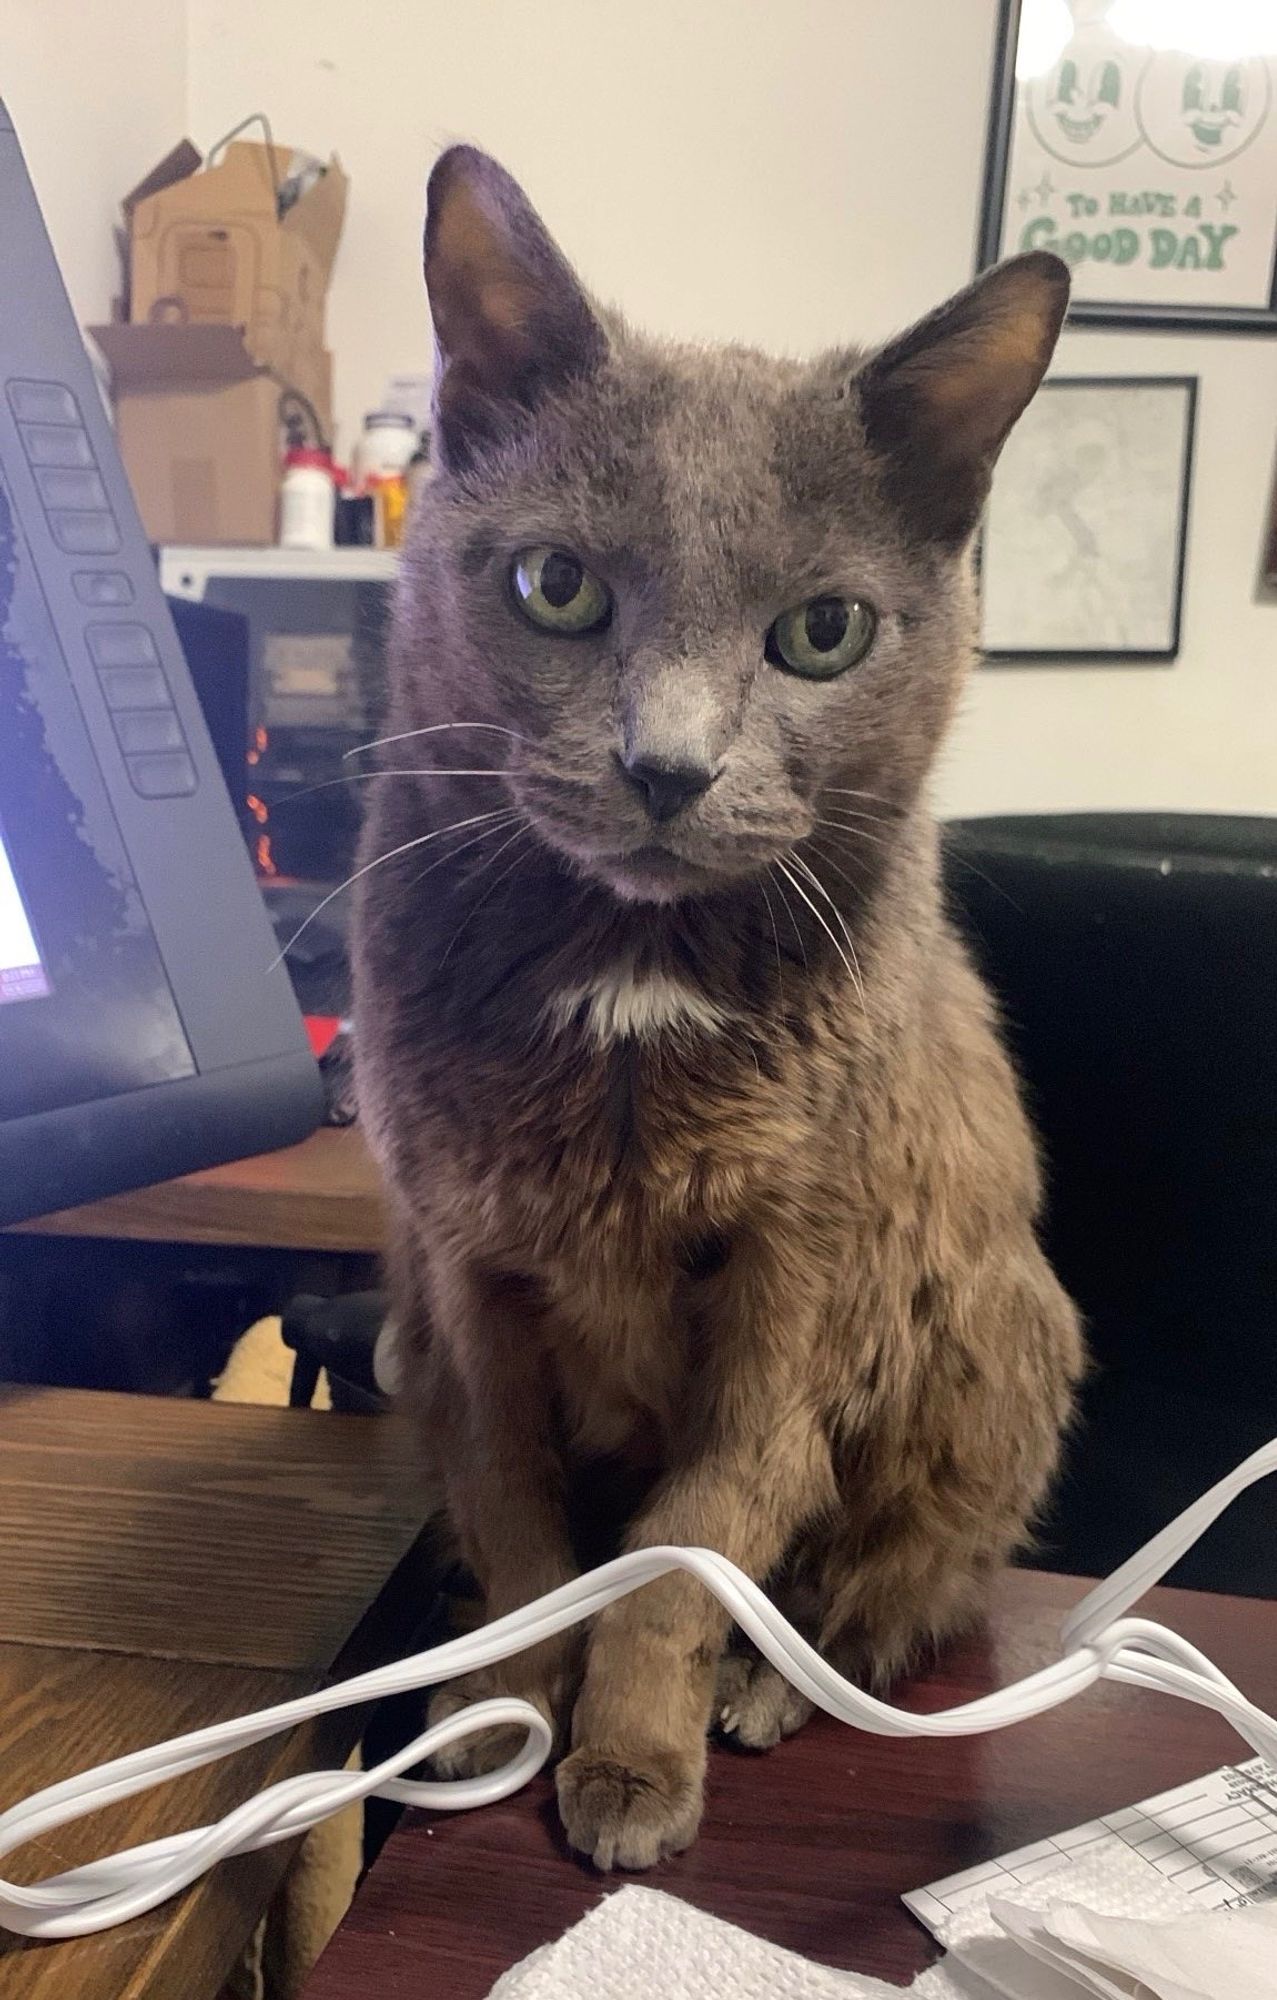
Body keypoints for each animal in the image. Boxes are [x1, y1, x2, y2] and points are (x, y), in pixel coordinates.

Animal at [356, 145, 1088, 1872]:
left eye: (823, 631)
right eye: (556, 586)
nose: (667, 766)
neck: (630, 984)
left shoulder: (796, 1293)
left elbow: (690, 1549)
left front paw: (629, 1764)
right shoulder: (463, 1285)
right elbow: (521, 1525)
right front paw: (495, 1711)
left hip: (995, 1348)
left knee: (892, 1589)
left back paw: (769, 1690)